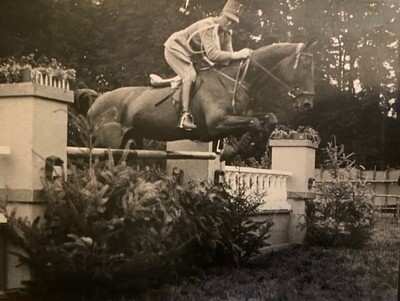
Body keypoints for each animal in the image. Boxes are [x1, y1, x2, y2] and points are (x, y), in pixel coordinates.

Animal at [86, 39, 316, 148]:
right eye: (305, 66)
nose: (307, 104)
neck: (236, 82)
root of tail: (95, 102)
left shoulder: (242, 115)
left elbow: (269, 118)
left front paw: (254, 144)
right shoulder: (217, 124)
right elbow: (255, 123)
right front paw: (244, 148)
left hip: (132, 141)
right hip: (109, 144)